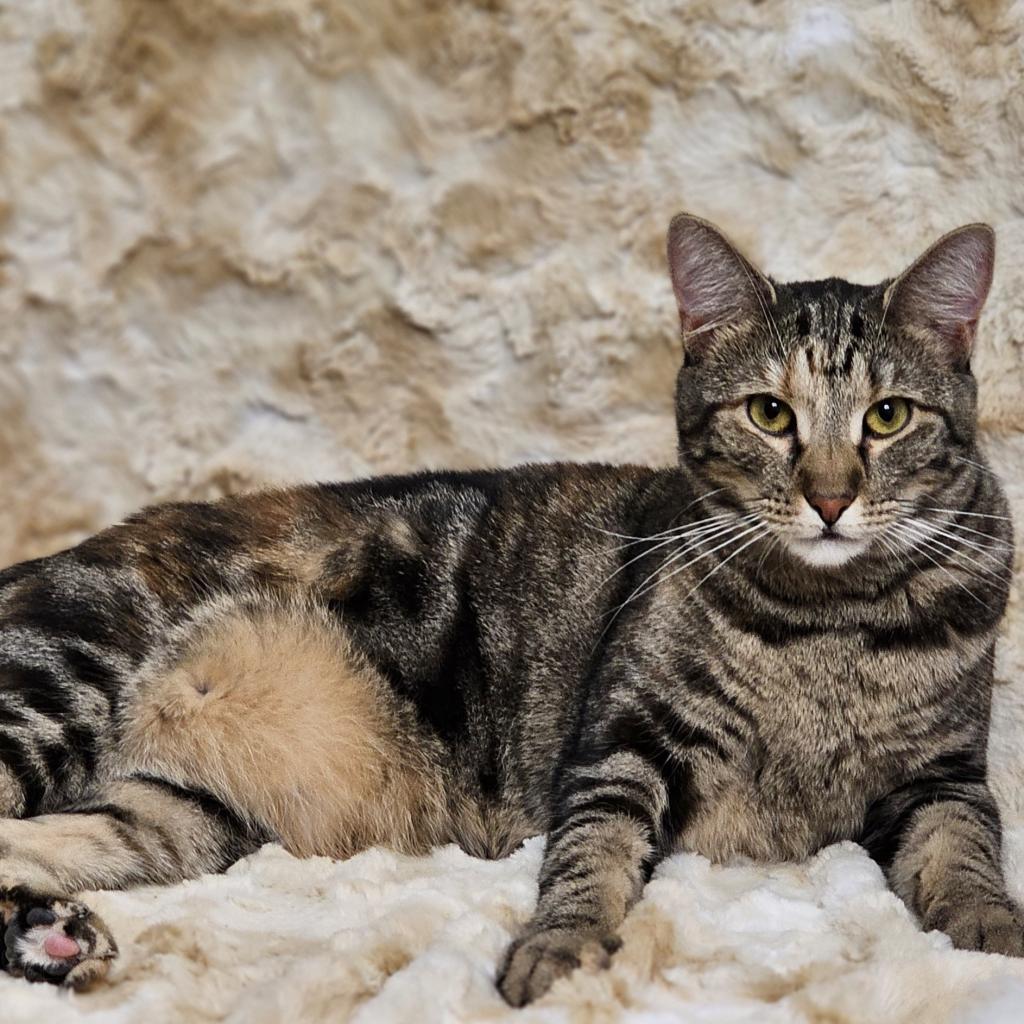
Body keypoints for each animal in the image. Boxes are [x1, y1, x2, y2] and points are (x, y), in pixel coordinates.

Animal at [0, 211, 1015, 1003]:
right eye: (770, 414)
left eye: (887, 417)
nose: (831, 498)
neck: (826, 625)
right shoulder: (621, 746)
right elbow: (590, 859)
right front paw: (560, 950)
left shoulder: (944, 775)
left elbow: (967, 854)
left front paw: (994, 932)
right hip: (63, 674)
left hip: (181, 814)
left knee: (37, 843)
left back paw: (51, 933)